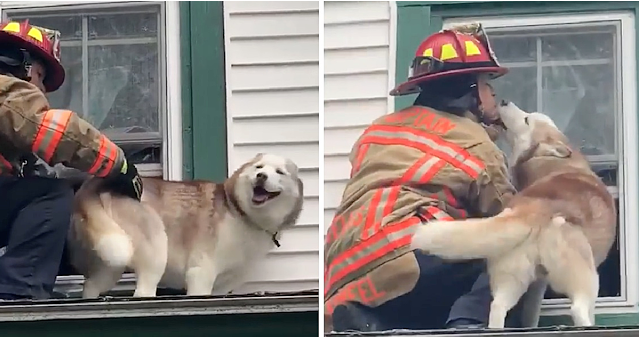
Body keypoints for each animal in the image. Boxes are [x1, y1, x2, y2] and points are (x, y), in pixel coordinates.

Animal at [67, 152, 304, 296]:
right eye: (259, 167)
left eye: (280, 172)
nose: (261, 176)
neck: (241, 213)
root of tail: (95, 184)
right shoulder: (200, 273)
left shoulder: (221, 286)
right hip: (155, 248)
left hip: (110, 261)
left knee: (91, 285)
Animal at [412, 101, 616, 326]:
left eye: (526, 119)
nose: (503, 101)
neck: (549, 160)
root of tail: (532, 210)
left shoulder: (537, 284)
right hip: (585, 278)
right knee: (578, 309)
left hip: (513, 277)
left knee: (497, 307)